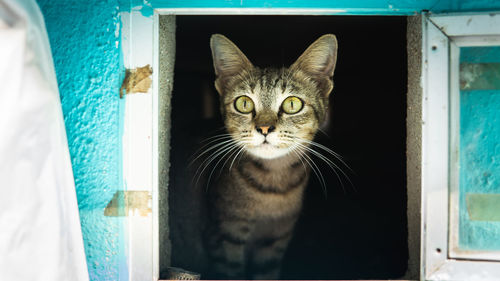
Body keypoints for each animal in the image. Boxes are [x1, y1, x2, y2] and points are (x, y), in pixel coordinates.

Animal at [170, 32, 338, 278]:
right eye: (244, 103)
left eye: (292, 103)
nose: (265, 128)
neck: (273, 185)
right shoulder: (223, 236)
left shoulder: (274, 242)